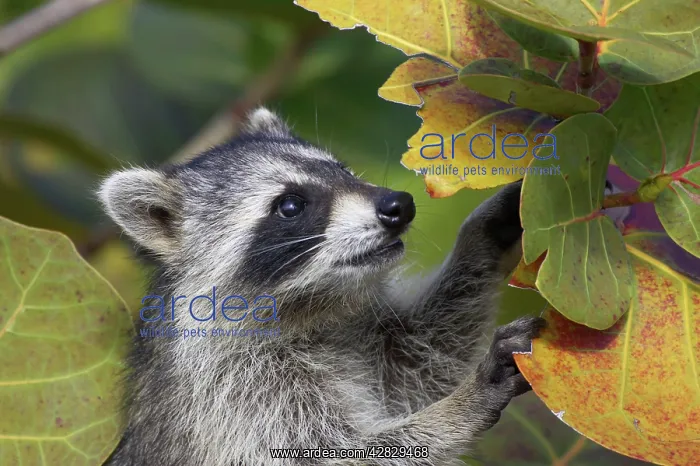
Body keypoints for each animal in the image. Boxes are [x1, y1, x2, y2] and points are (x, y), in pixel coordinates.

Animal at [98, 107, 544, 466]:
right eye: (290, 205)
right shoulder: (230, 396)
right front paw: (460, 405)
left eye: (342, 171)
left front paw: (483, 234)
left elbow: (419, 358)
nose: (400, 205)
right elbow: (329, 454)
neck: (314, 309)